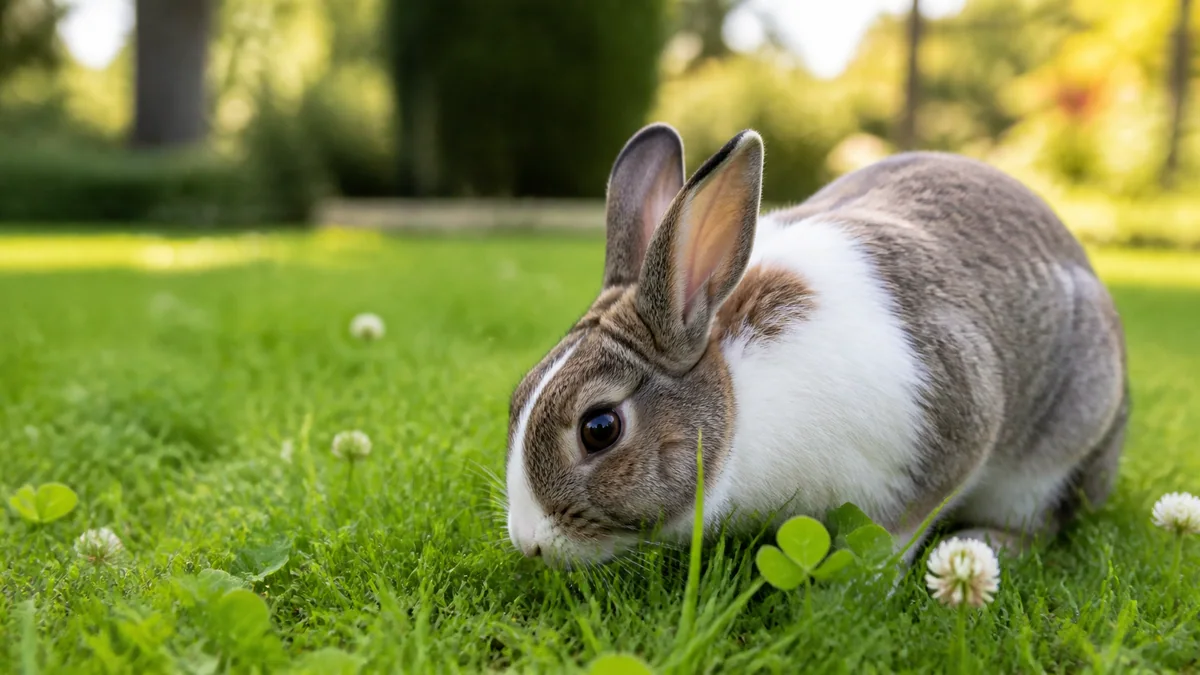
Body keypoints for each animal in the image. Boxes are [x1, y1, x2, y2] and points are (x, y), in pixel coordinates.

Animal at [504, 123, 1128, 567]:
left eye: (599, 428)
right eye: (518, 397)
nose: (530, 543)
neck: (739, 399)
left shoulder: (955, 423)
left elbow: (896, 535)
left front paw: (864, 585)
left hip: (1049, 462)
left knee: (1040, 524)